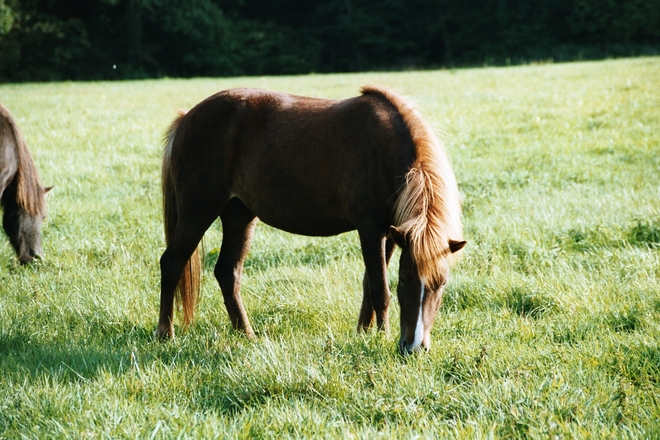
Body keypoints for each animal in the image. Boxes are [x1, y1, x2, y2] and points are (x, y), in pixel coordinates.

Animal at [156, 85, 464, 354]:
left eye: (441, 283)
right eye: (404, 279)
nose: (414, 347)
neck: (384, 150)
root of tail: (186, 119)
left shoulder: (391, 232)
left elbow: (369, 284)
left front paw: (364, 333)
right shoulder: (371, 229)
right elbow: (380, 289)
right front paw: (382, 336)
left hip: (238, 214)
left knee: (227, 272)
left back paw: (246, 334)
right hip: (198, 210)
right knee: (172, 263)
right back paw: (165, 334)